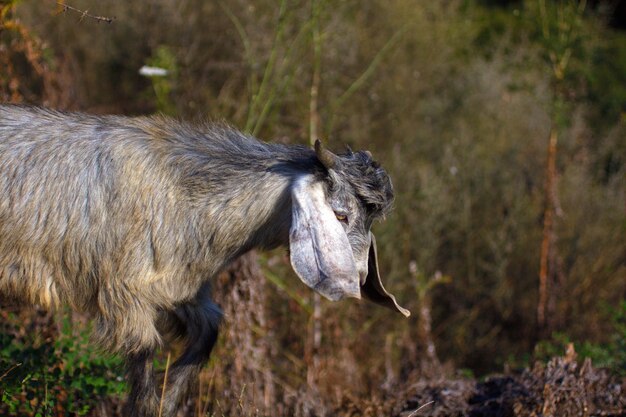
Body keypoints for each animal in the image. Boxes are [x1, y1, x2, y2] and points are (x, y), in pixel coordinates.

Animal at [0, 105, 408, 416]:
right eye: (340, 214)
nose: (359, 276)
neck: (184, 191)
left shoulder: (183, 289)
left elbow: (209, 331)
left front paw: (170, 397)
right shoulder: (125, 292)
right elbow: (143, 356)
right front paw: (152, 404)